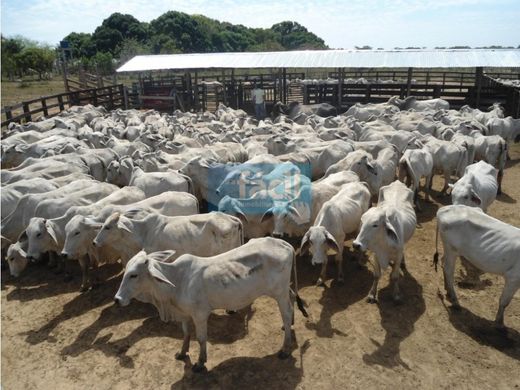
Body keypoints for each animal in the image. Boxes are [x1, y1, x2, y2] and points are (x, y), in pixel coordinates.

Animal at [114, 236, 308, 374]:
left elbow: (201, 339)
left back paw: (285, 348)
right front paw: (182, 353)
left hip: (279, 292)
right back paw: (288, 326)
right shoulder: (184, 314)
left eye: (133, 275)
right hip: (284, 290)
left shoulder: (200, 315)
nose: (117, 299)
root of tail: (285, 244)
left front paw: (200, 363)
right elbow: (186, 333)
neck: (177, 281)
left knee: (286, 311)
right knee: (292, 299)